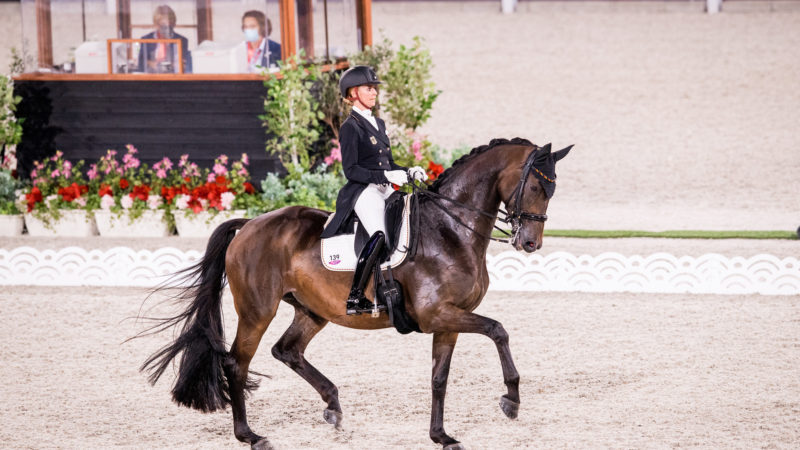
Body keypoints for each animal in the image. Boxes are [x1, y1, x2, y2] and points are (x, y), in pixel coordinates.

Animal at [142, 138, 568, 450]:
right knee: (237, 363)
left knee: (287, 350)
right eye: (535, 185)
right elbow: (498, 330)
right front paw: (511, 400)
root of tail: (248, 225)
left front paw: (441, 436)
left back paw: (332, 405)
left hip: (312, 311)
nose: (529, 243)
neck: (450, 230)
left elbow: (439, 378)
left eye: (552, 189)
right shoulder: (437, 314)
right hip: (256, 312)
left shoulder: (448, 321)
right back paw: (251, 435)